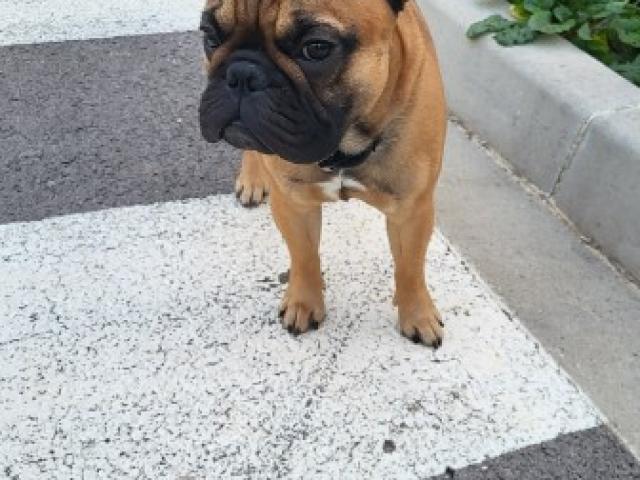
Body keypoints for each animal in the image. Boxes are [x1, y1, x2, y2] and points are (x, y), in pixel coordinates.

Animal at [199, 0, 444, 344]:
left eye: (316, 49)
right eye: (210, 36)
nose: (242, 74)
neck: (344, 147)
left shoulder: (411, 211)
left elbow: (410, 265)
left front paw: (417, 314)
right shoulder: (294, 204)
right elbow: (304, 256)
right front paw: (304, 301)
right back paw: (252, 178)